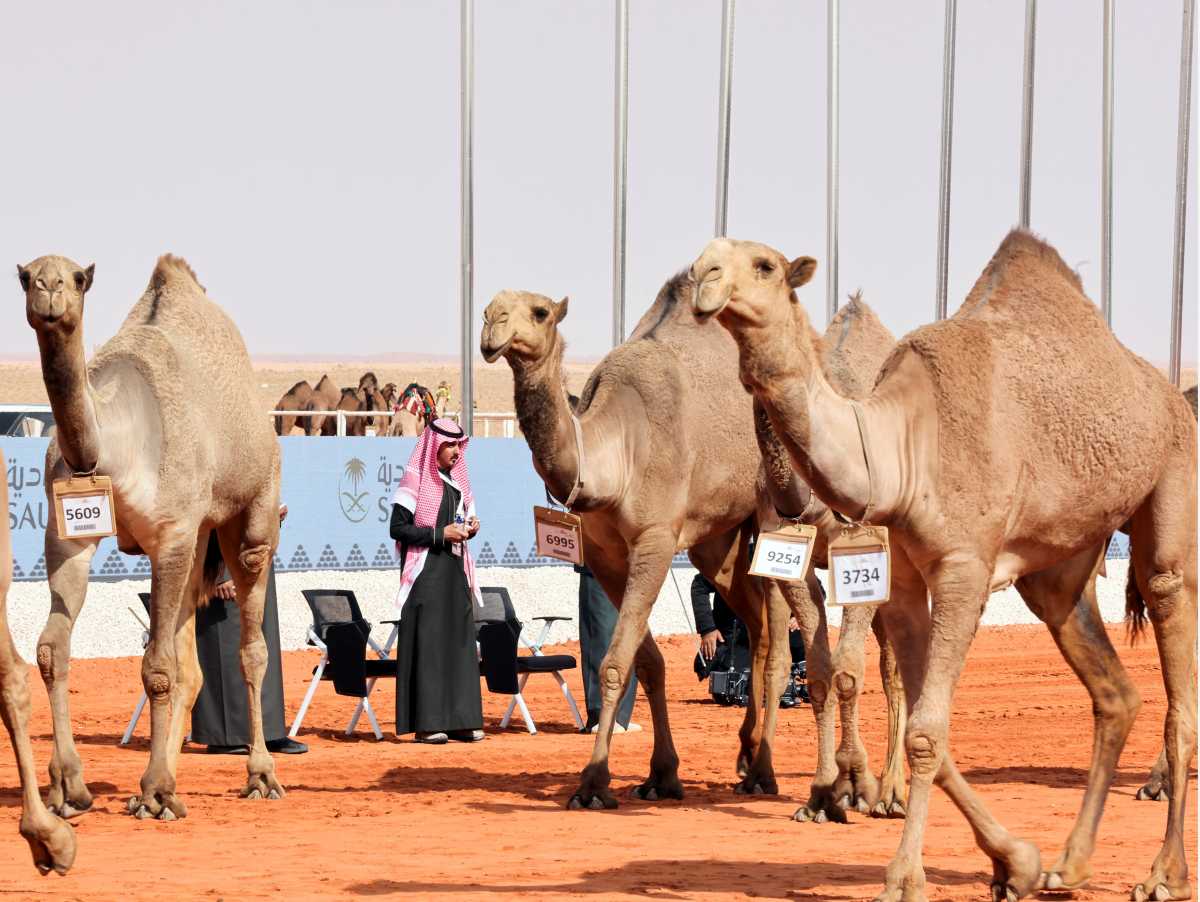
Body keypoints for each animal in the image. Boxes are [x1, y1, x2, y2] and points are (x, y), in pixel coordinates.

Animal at [19, 254, 285, 825]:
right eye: (25, 277)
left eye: (77, 278)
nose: (49, 292)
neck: (114, 448)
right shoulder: (69, 537)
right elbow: (52, 649)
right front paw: (68, 786)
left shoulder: (172, 532)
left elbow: (157, 668)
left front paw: (154, 794)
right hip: (197, 538)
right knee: (190, 665)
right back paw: (168, 779)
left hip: (251, 510)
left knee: (250, 646)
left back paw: (260, 775)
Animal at [477, 274, 902, 810]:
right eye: (488, 307)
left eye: (539, 313)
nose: (492, 331)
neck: (614, 453)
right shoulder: (606, 556)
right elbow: (648, 661)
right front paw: (661, 774)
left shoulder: (656, 540)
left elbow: (615, 663)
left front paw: (593, 782)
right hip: (717, 542)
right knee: (762, 629)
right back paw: (754, 758)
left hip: (769, 526)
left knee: (789, 646)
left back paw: (785, 775)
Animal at [691, 232, 1195, 902]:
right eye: (702, 258)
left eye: (765, 265)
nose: (703, 281)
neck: (901, 448)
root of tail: (1164, 392)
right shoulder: (902, 577)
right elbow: (923, 723)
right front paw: (1016, 863)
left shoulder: (963, 567)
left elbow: (925, 728)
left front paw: (903, 876)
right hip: (1059, 568)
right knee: (1113, 691)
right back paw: (1069, 864)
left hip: (1171, 481)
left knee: (1171, 638)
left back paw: (1165, 873)